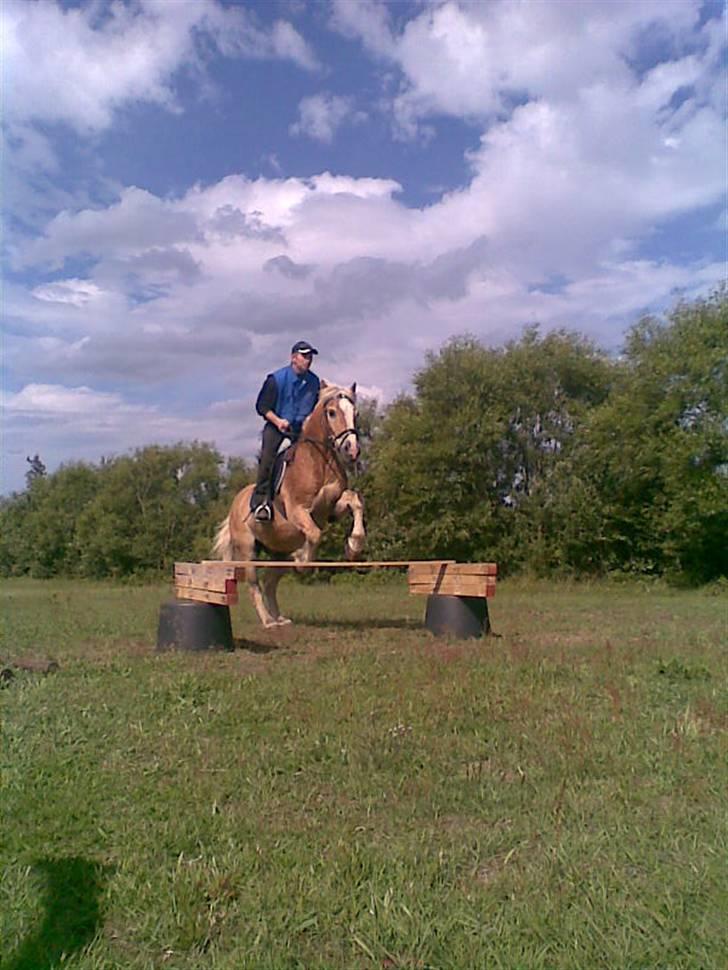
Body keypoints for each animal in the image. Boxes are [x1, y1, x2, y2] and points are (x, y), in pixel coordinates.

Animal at [213, 378, 366, 628]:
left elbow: (355, 501)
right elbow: (314, 534)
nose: (351, 450)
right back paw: (268, 621)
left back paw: (279, 618)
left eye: (356, 413)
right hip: (248, 549)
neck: (319, 460)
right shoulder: (298, 511)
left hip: (278, 552)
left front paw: (353, 547)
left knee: (270, 583)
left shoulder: (332, 505)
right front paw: (303, 558)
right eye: (332, 412)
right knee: (254, 585)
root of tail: (234, 506)